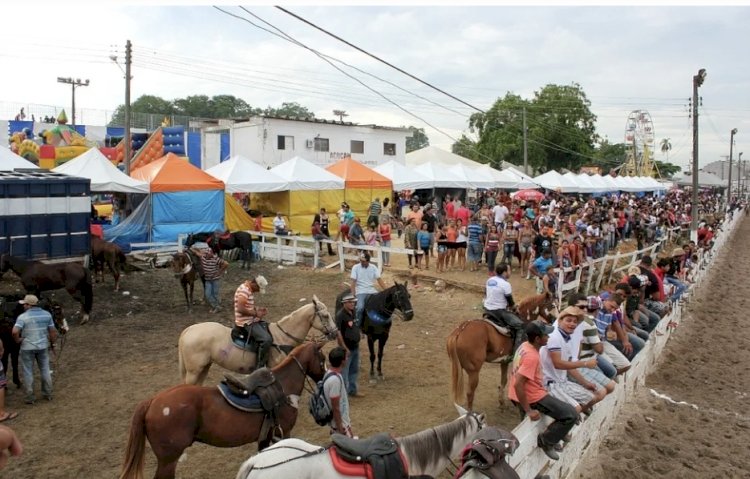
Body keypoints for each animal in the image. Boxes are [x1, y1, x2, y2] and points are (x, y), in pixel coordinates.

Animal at [120, 342, 326, 479]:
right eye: (323, 359)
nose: (324, 377)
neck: (283, 386)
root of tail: (152, 401)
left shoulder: (266, 437)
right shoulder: (284, 432)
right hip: (168, 460)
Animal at [178, 296, 336, 386]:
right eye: (325, 315)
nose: (335, 333)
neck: (282, 337)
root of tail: (188, 330)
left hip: (204, 367)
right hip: (193, 371)